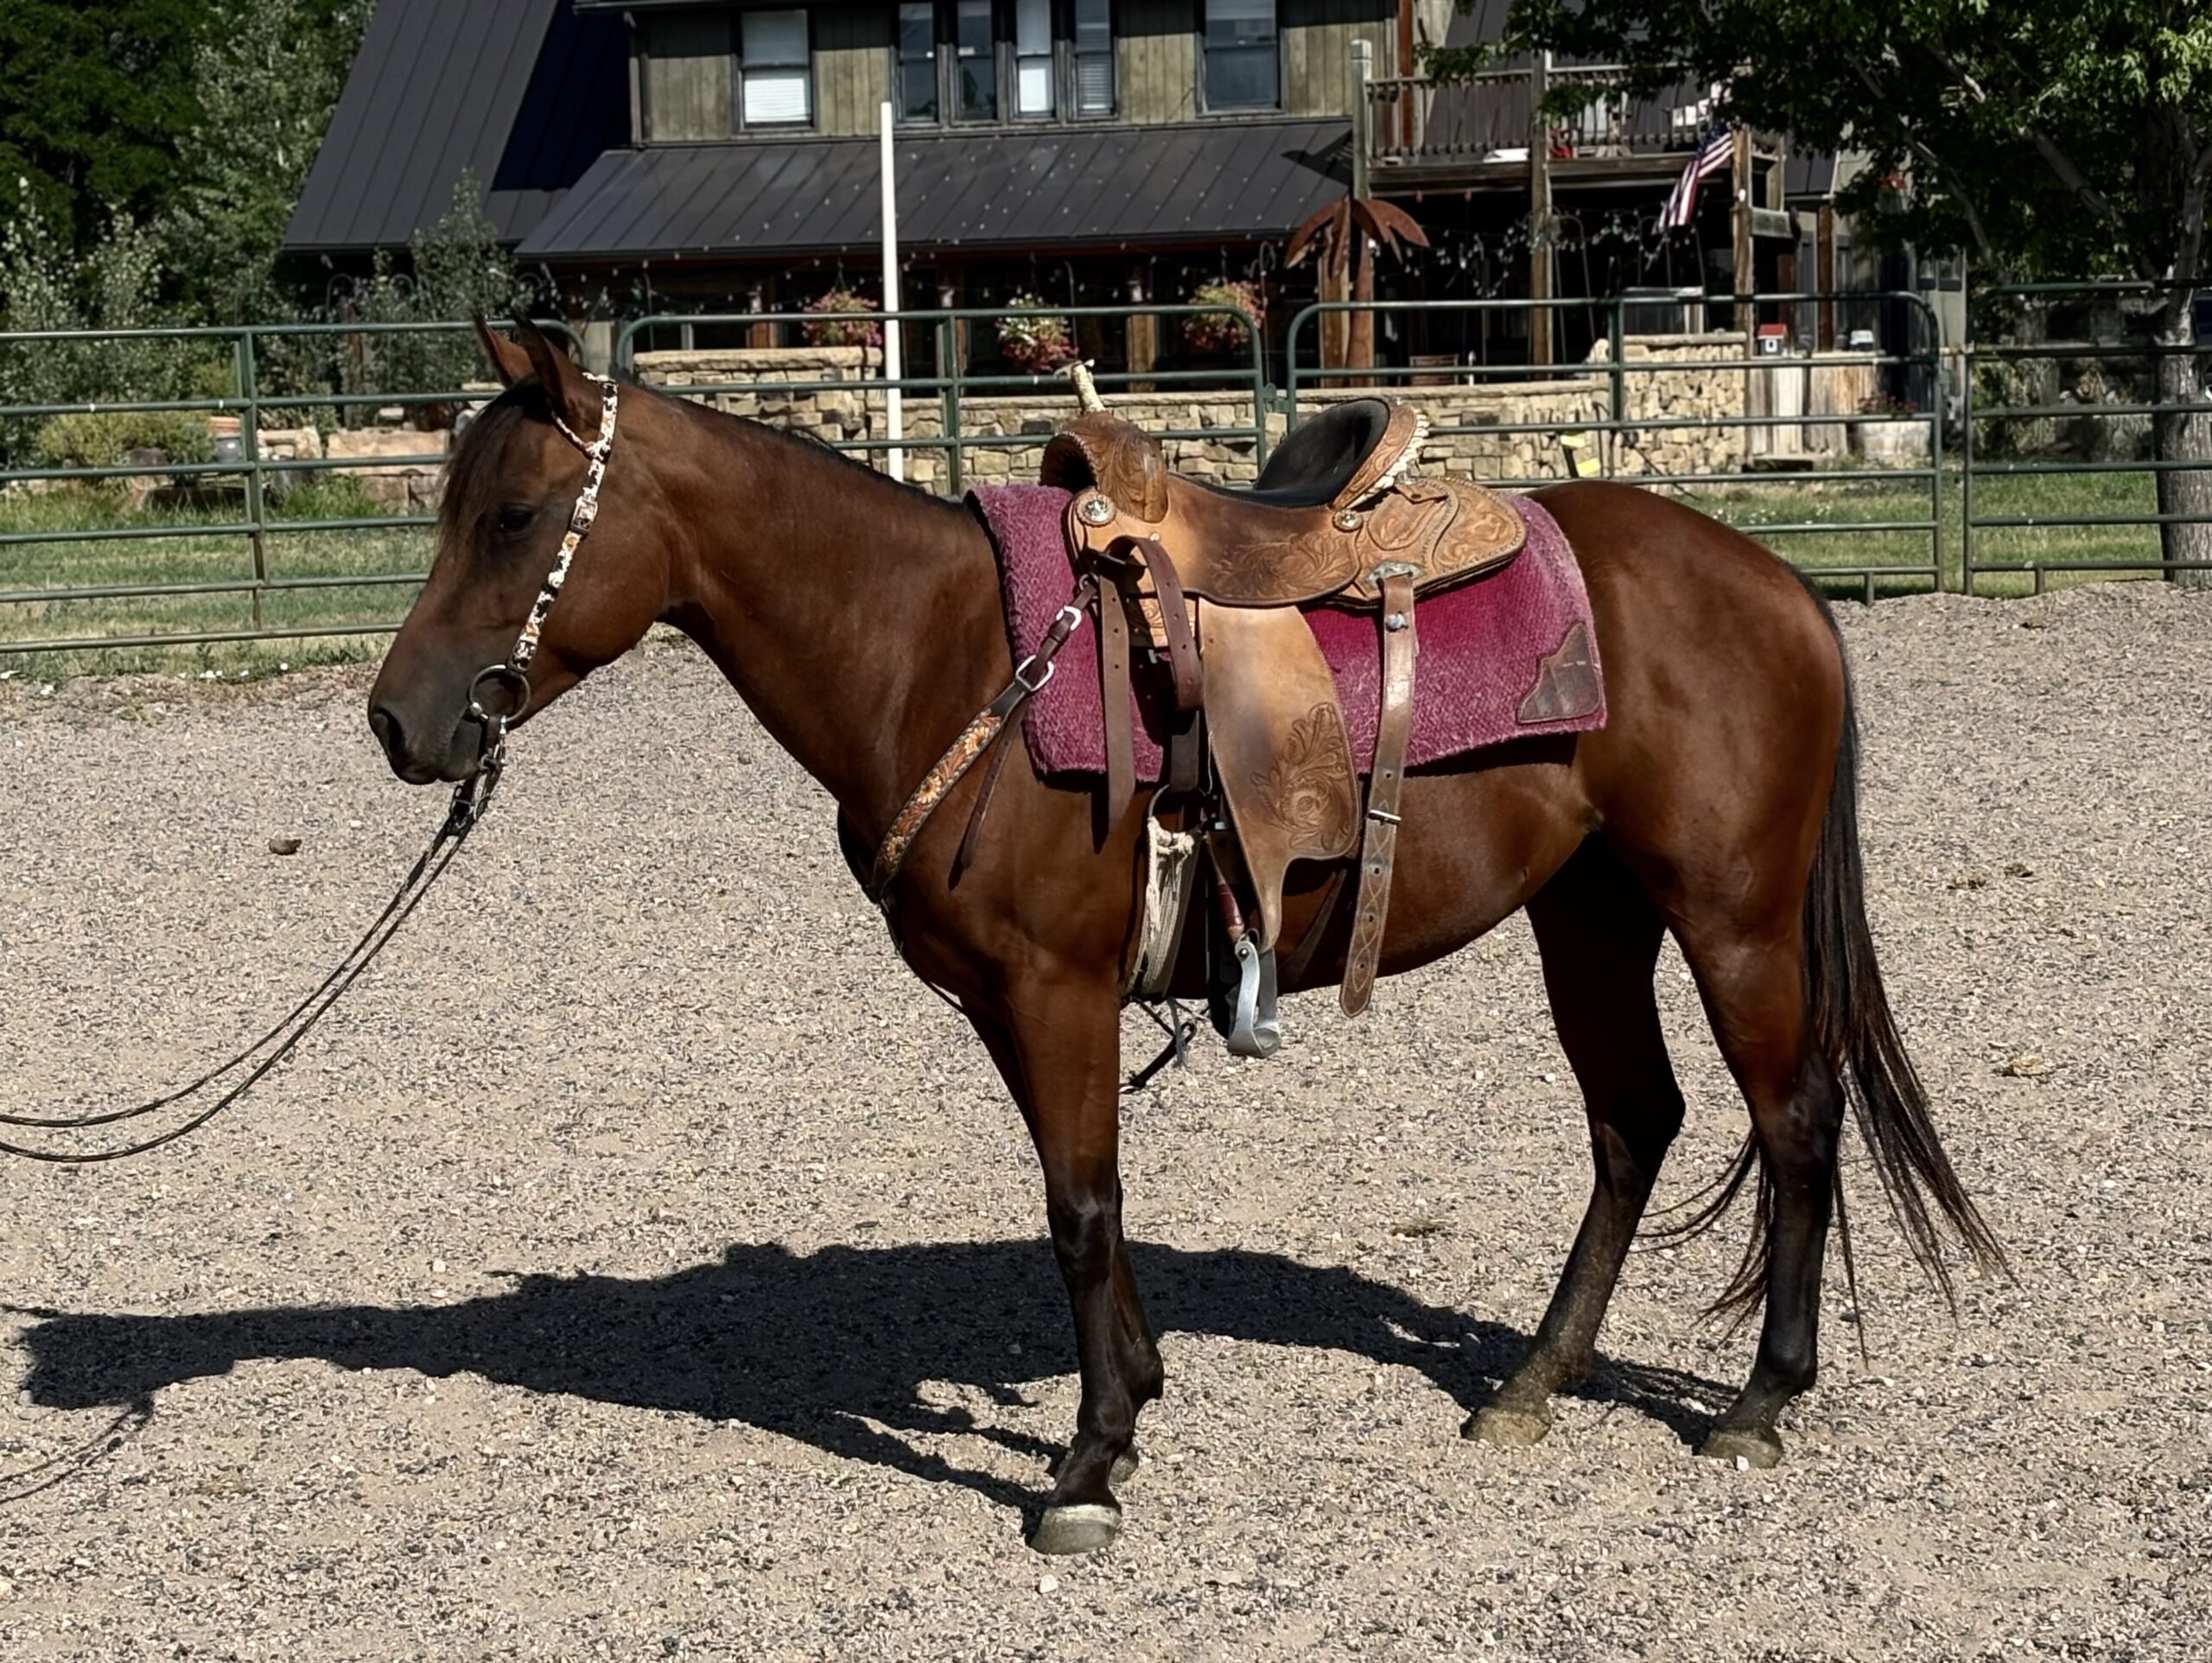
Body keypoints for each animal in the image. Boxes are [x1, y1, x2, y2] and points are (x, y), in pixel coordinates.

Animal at [366, 321, 2000, 1556]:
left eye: (513, 515)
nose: (397, 720)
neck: (933, 646)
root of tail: (1782, 589)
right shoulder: (1012, 1004)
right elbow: (1080, 1195)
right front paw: (1137, 1399)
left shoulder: (1057, 990)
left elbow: (1082, 1209)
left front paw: (1087, 1468)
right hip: (1591, 916)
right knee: (1634, 1124)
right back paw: (1535, 1380)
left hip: (1731, 918)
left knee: (1794, 1121)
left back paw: (1758, 1404)